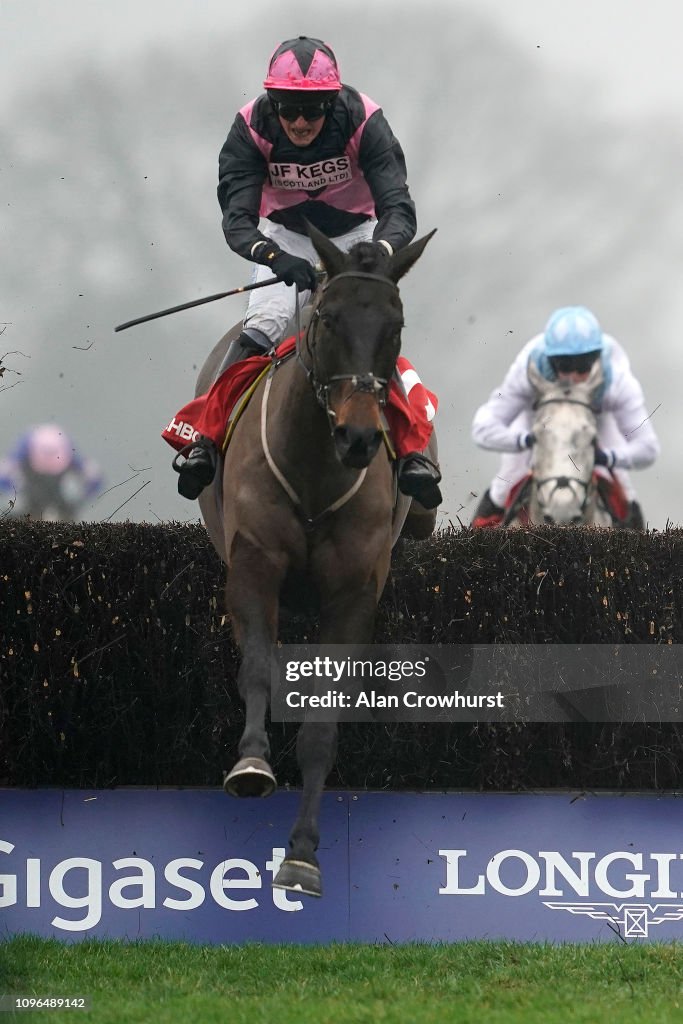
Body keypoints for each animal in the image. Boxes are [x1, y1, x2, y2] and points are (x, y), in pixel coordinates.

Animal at [196, 224, 438, 897]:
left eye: (395, 327)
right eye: (329, 319)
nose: (359, 437)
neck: (312, 463)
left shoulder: (354, 591)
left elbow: (324, 723)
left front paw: (302, 853)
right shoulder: (253, 566)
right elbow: (257, 668)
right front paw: (252, 762)